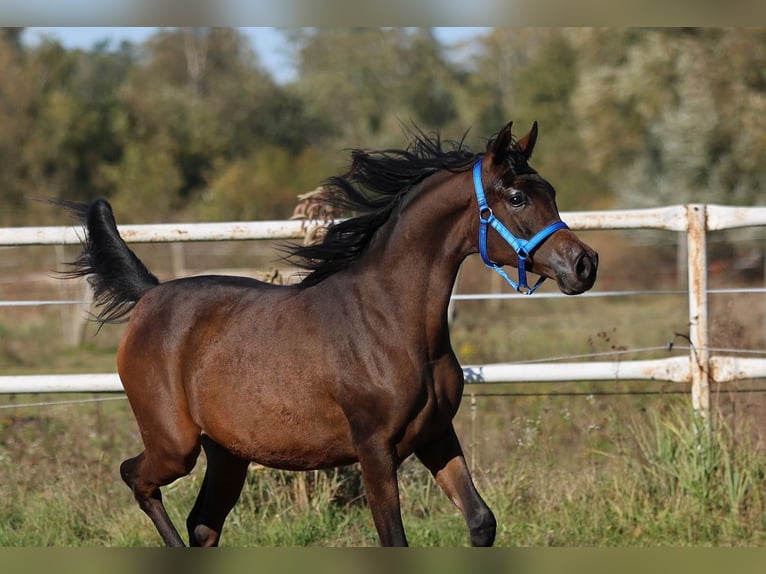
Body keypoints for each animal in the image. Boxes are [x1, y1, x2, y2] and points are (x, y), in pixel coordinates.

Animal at [60, 121, 600, 548]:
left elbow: (481, 521)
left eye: (551, 192)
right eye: (517, 197)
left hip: (228, 454)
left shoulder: (435, 434)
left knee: (203, 525)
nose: (584, 264)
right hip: (175, 444)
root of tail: (150, 294)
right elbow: (394, 539)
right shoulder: (374, 448)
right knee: (138, 479)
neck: (391, 322)